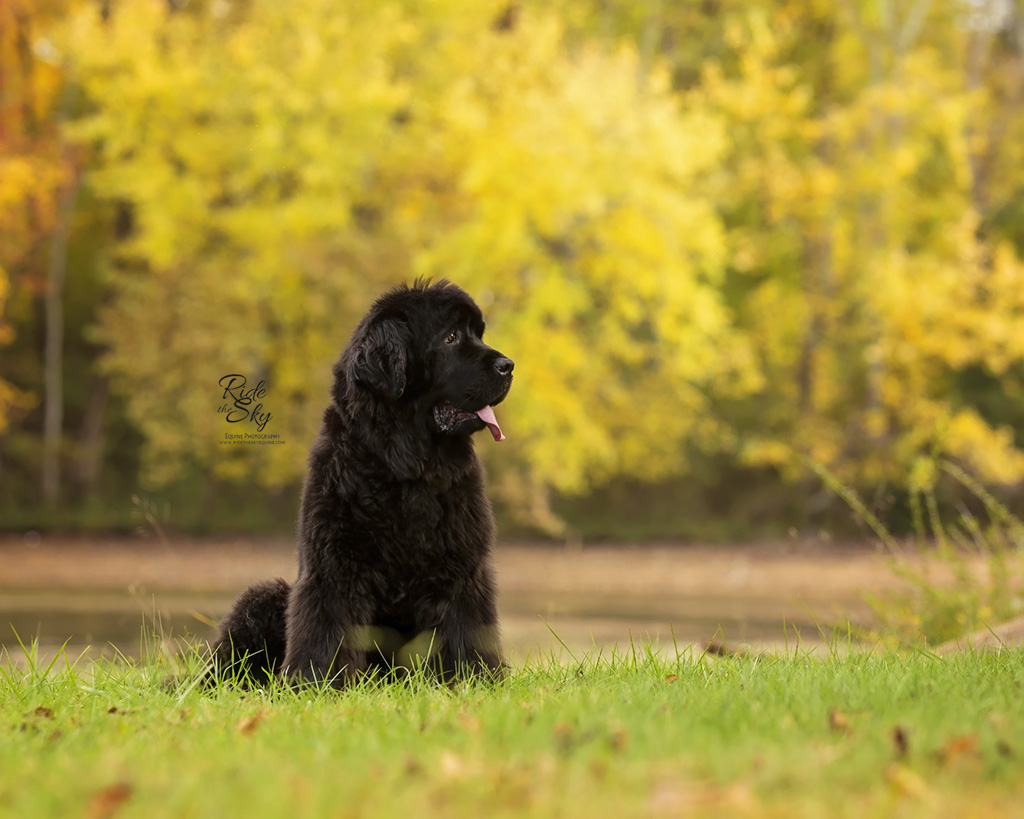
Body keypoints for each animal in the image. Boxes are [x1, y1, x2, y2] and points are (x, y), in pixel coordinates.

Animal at [209, 282, 512, 683]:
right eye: (450, 337)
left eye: (478, 334)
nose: (509, 365)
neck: (405, 465)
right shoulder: (333, 564)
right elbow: (327, 627)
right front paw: (316, 681)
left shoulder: (463, 567)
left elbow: (468, 627)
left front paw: (477, 677)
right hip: (262, 599)